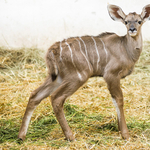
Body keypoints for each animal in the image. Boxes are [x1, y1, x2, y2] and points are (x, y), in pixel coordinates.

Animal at [18, 4, 150, 141]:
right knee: (56, 98)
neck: (126, 49)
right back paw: (70, 136)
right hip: (79, 76)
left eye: (139, 21)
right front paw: (125, 134)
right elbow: (118, 100)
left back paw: (21, 136)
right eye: (126, 21)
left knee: (35, 95)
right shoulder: (111, 75)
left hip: (57, 77)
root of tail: (53, 50)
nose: (132, 29)